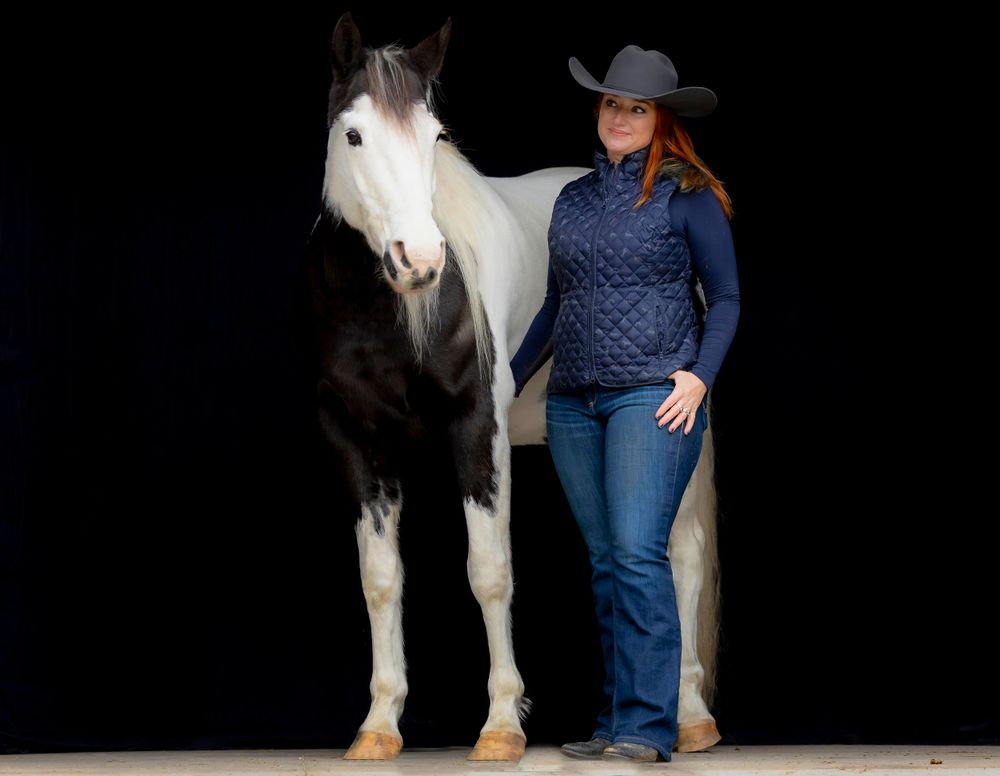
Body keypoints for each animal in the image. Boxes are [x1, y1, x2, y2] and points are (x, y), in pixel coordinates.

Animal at [304, 11, 723, 761]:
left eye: (435, 136)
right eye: (354, 135)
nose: (420, 260)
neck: (389, 315)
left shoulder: (479, 430)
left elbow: (489, 571)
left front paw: (501, 726)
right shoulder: (356, 441)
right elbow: (380, 580)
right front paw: (379, 725)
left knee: (682, 554)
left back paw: (691, 714)